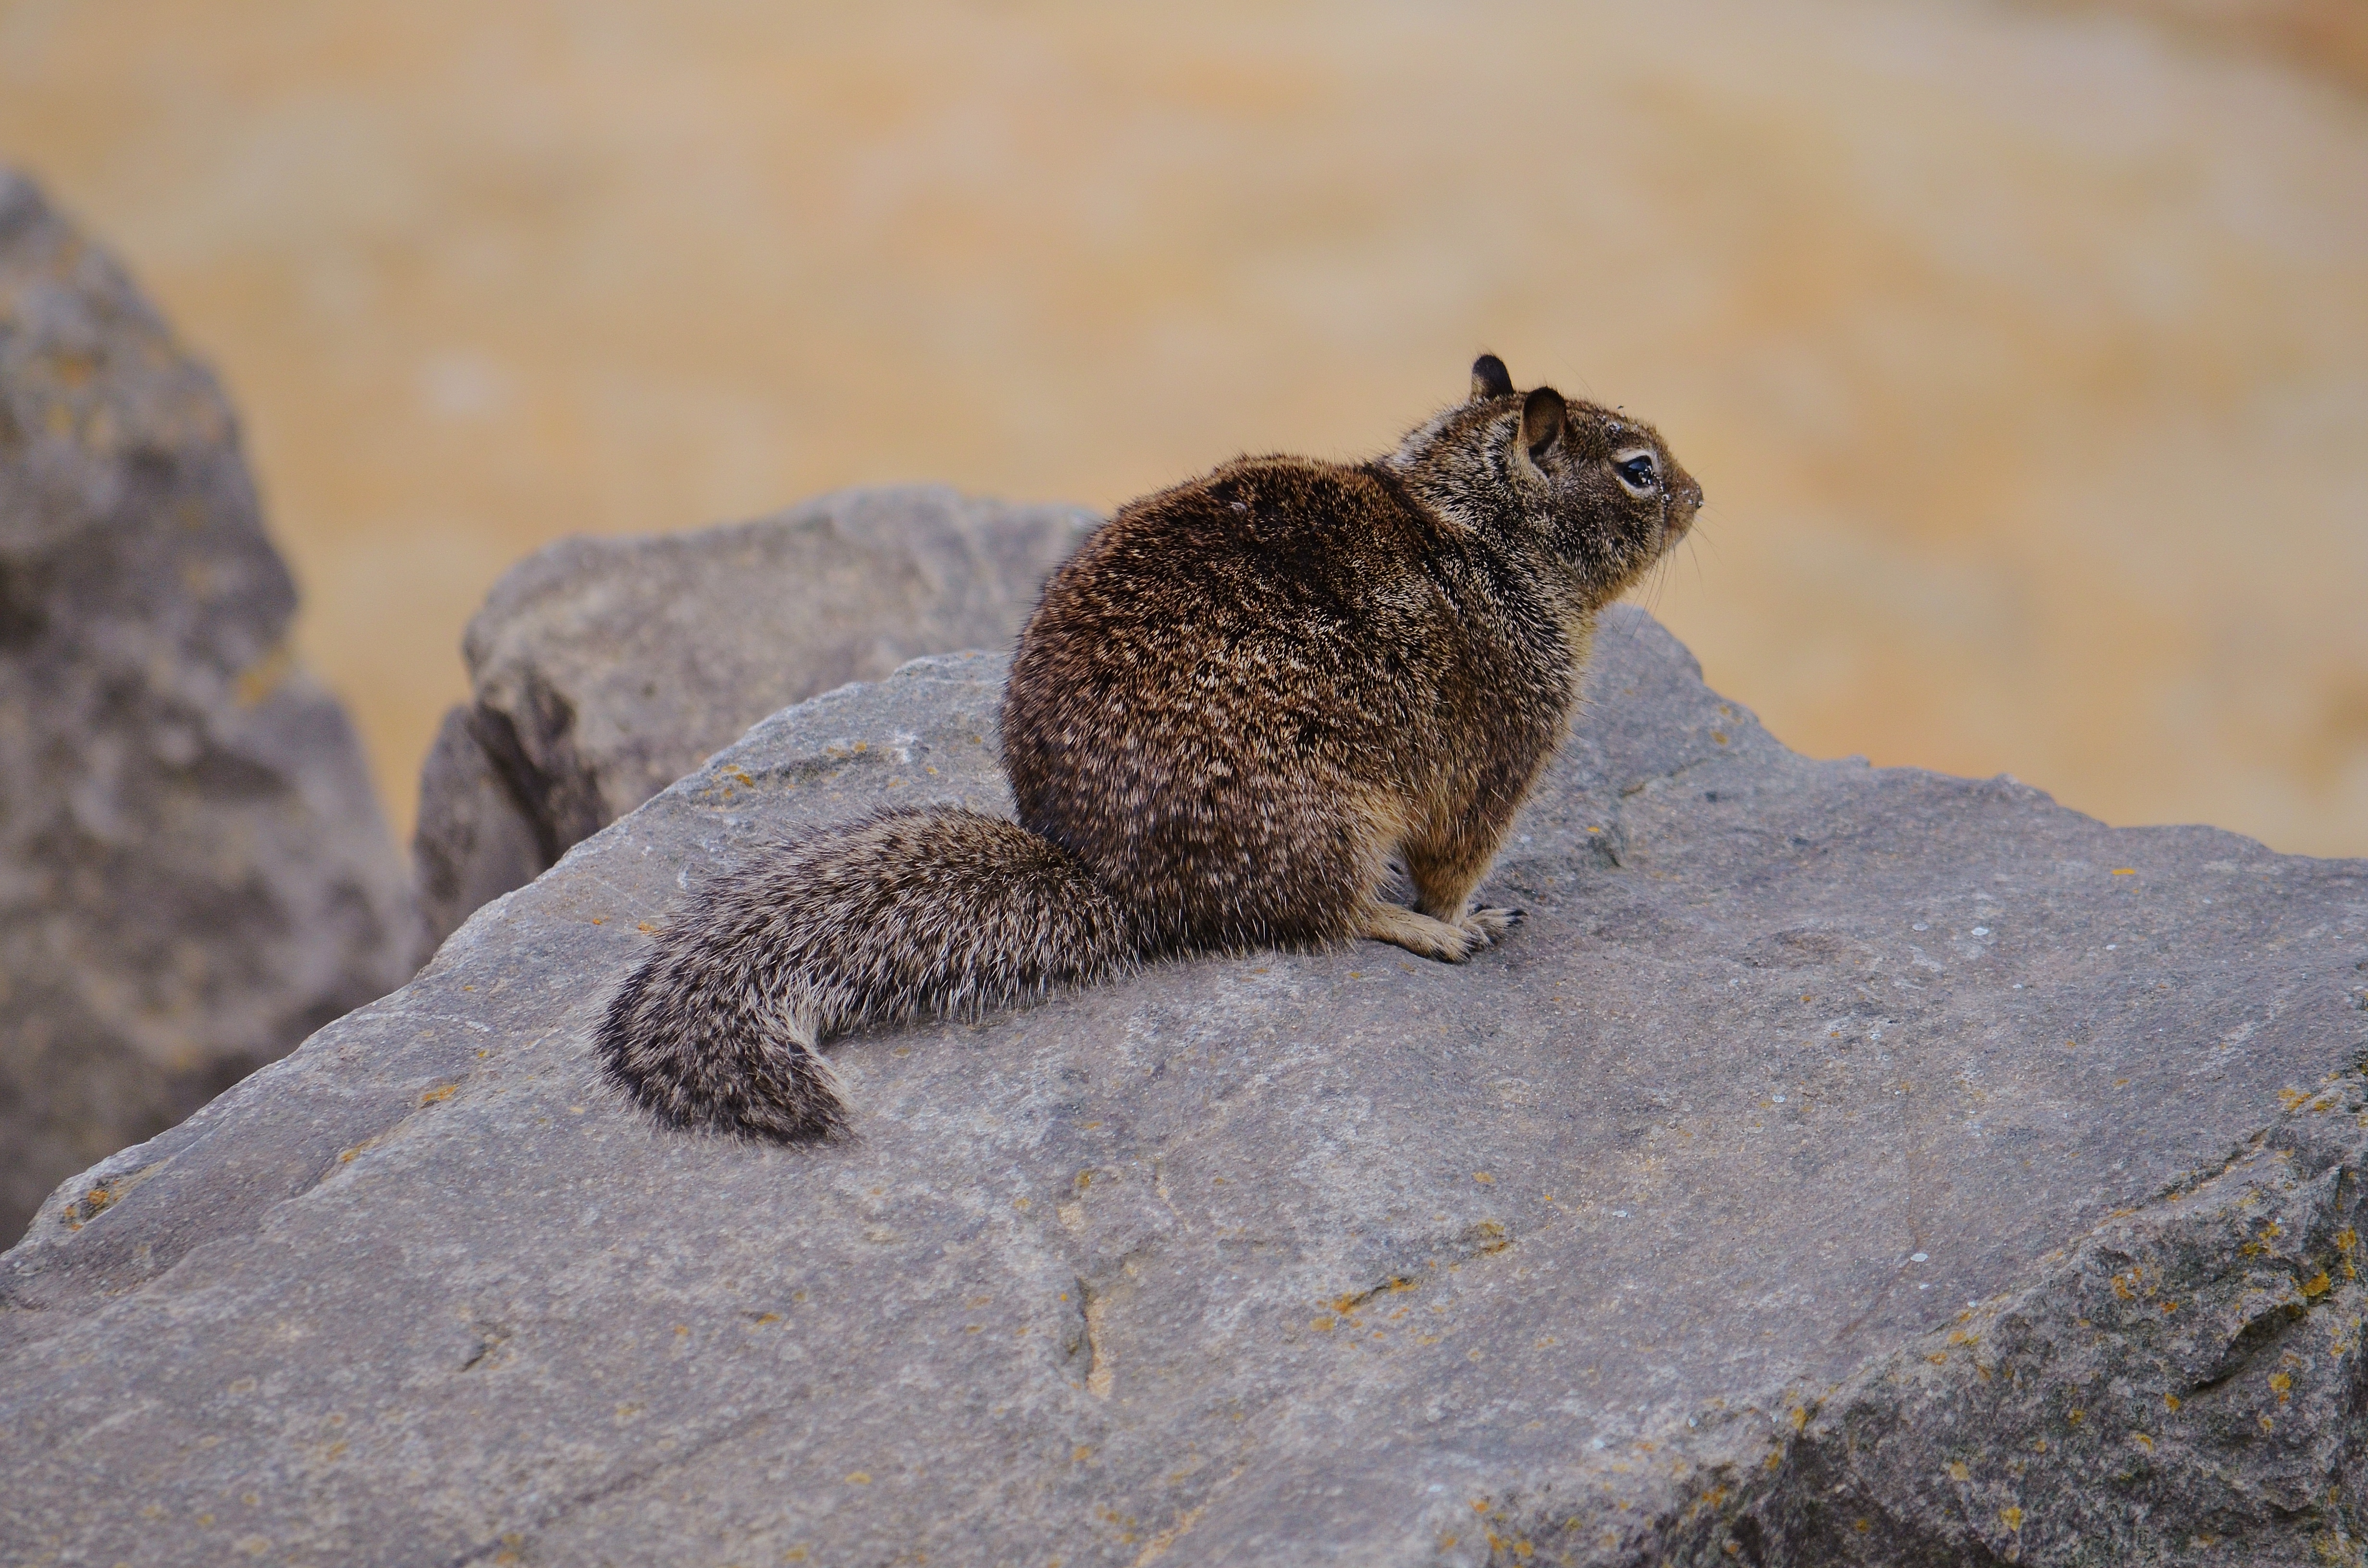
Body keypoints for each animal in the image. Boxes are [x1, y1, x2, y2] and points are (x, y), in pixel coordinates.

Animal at [597, 356, 1702, 1140]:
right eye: (1638, 470)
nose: (1701, 497)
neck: (1484, 536)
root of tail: (1104, 874)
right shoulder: (1501, 751)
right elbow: (1454, 861)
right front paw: (1463, 914)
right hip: (1327, 816)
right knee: (1332, 916)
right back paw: (1427, 934)